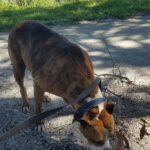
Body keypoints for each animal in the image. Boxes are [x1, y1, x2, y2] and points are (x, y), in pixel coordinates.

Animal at [7, 20, 115, 149]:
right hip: (18, 66)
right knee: (22, 87)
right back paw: (26, 103)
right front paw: (39, 122)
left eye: (112, 135)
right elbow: (38, 107)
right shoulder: (41, 84)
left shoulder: (68, 95)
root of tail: (19, 23)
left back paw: (44, 96)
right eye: (97, 141)